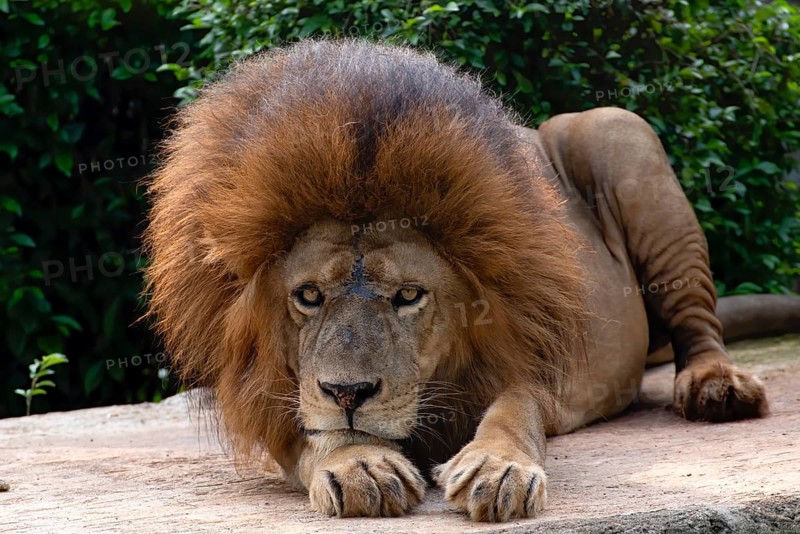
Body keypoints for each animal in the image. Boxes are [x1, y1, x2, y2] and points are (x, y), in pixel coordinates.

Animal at [144, 40, 798, 522]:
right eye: (307, 296)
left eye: (409, 296)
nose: (350, 394)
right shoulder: (268, 397)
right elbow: (312, 429)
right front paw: (360, 462)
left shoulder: (525, 362)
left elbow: (512, 411)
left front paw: (498, 469)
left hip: (620, 133)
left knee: (699, 323)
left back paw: (717, 388)